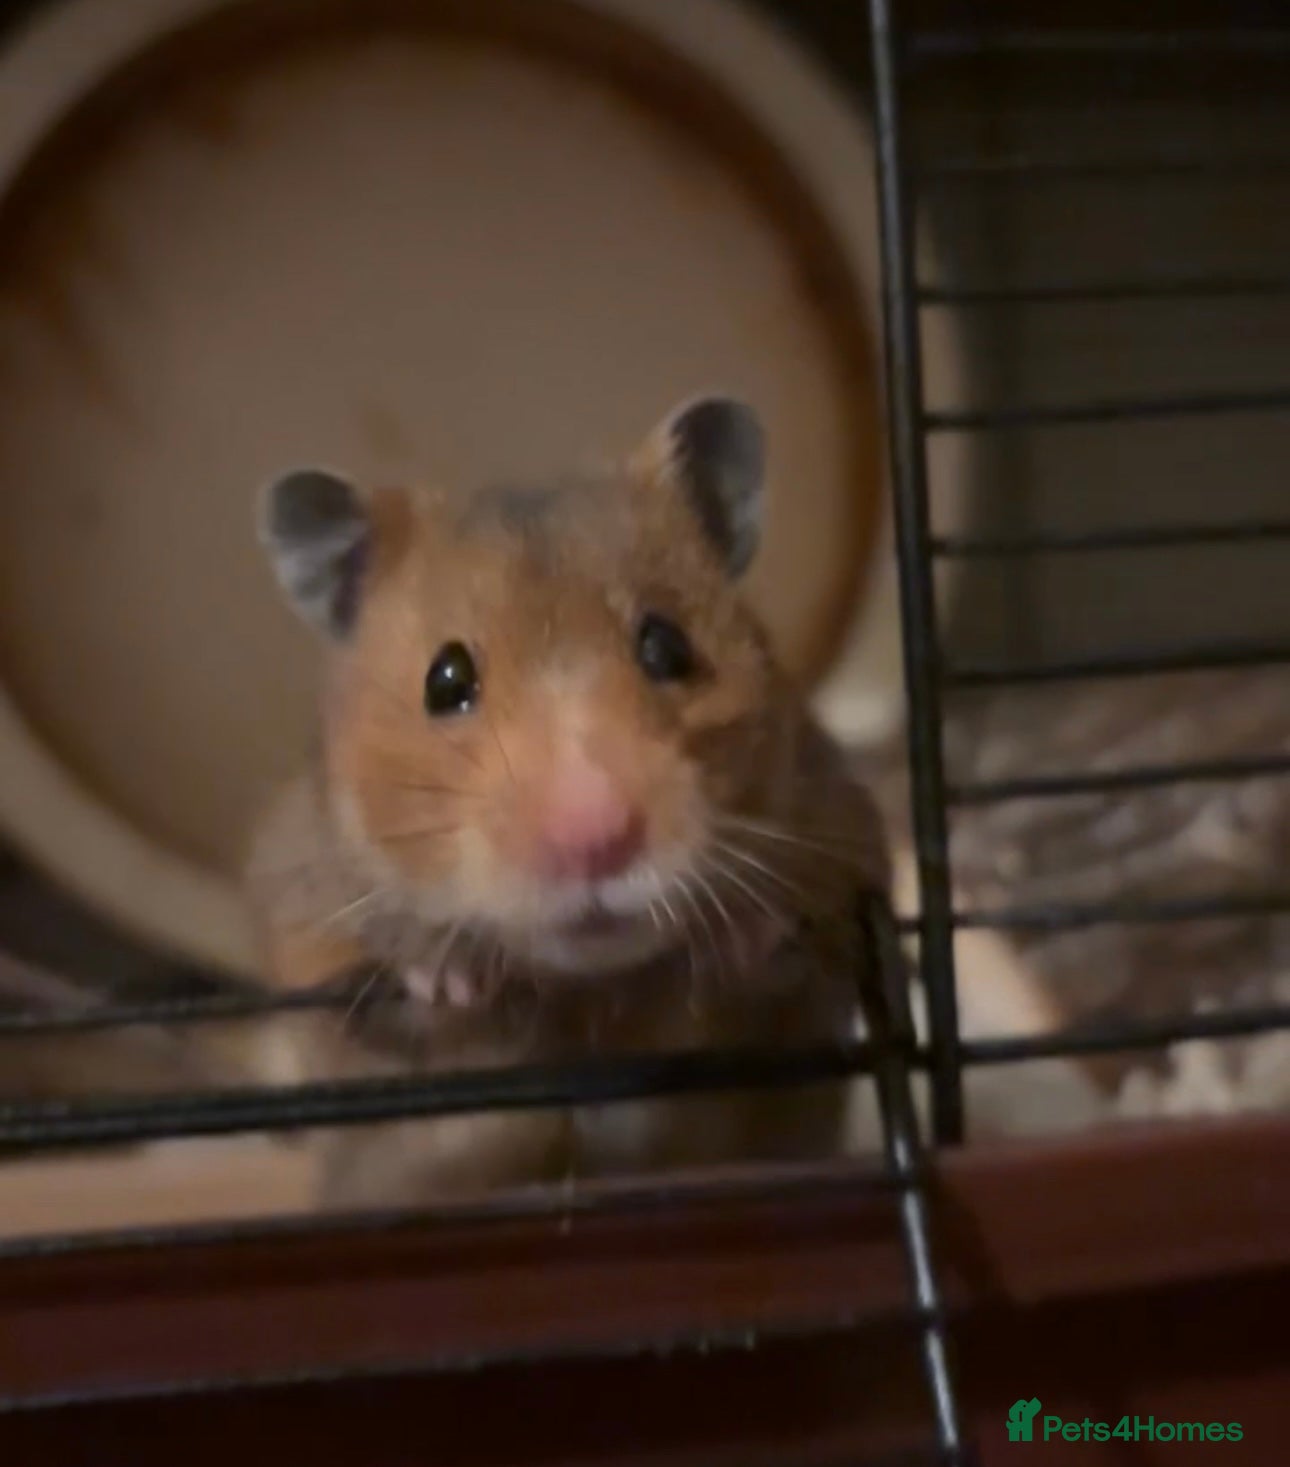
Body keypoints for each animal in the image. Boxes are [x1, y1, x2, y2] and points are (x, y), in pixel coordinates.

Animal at [246, 396, 891, 1208]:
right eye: (444, 679)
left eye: (668, 647)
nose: (595, 841)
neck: (588, 992)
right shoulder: (301, 914)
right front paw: (448, 977)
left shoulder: (845, 839)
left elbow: (796, 956)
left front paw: (745, 930)